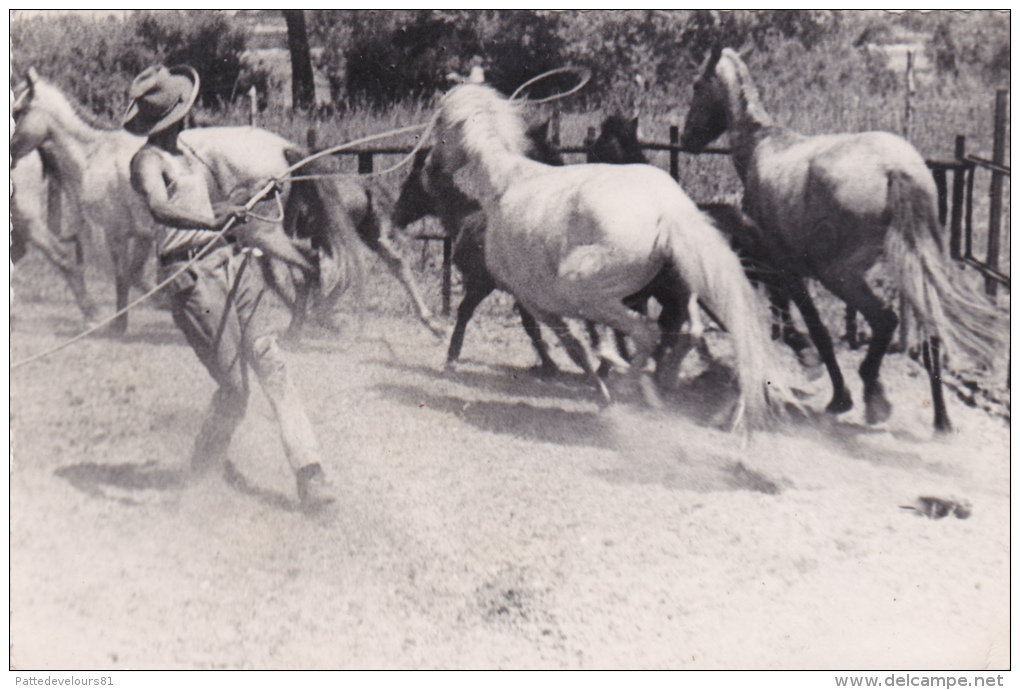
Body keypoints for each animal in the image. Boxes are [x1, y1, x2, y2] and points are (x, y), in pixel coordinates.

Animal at [424, 83, 795, 428]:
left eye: (440, 121)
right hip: (683, 289)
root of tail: (667, 210)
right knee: (689, 332)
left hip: (589, 292)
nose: (428, 167)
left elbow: (575, 346)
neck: (505, 186)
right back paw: (660, 383)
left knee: (648, 333)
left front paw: (600, 389)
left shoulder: (534, 299)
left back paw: (632, 392)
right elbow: (582, 343)